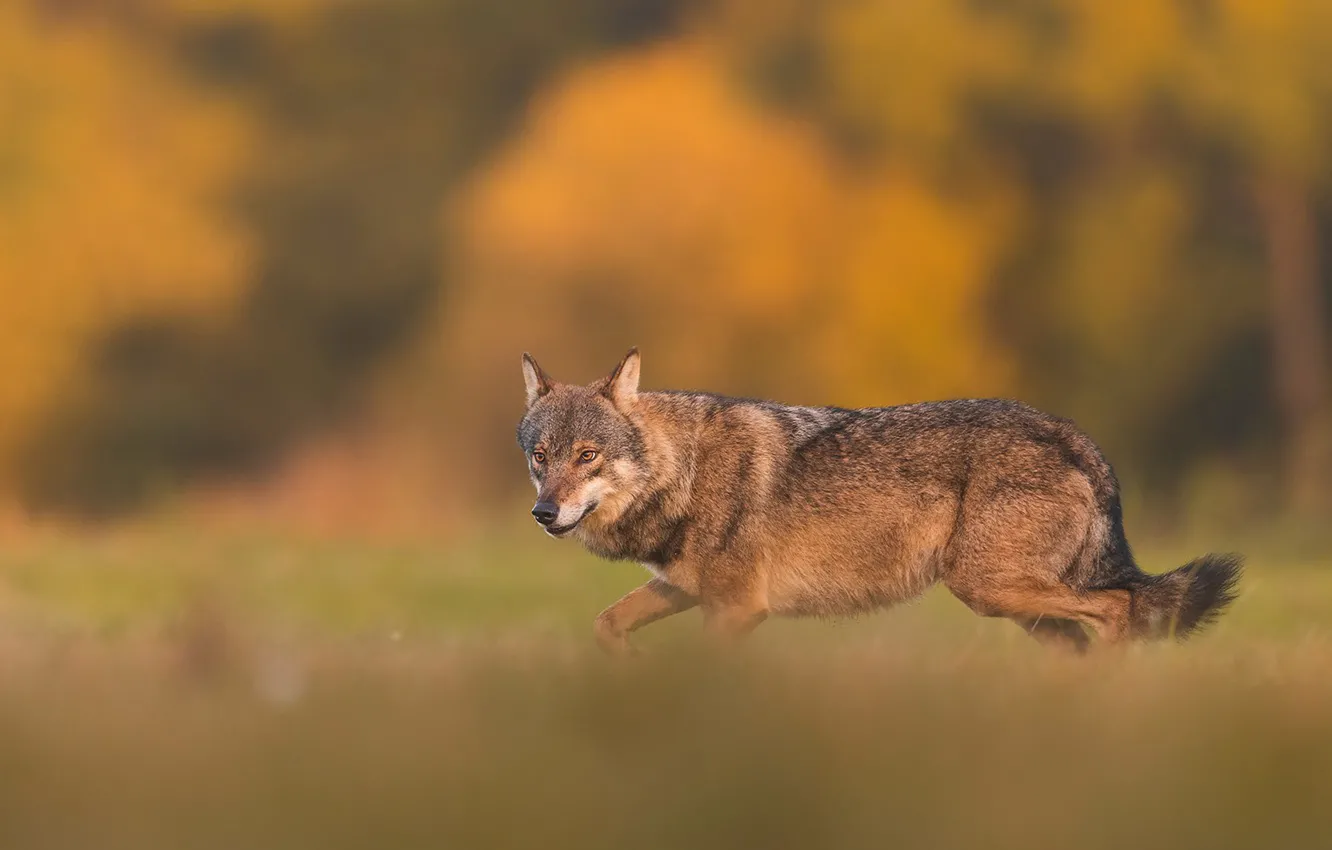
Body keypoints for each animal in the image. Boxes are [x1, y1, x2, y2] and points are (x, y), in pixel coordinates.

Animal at [516, 349, 1241, 654]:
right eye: (541, 457)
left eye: (588, 456)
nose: (544, 515)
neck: (682, 472)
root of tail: (1076, 436)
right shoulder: (686, 590)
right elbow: (606, 624)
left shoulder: (737, 609)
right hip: (1015, 606)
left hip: (989, 588)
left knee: (1119, 610)